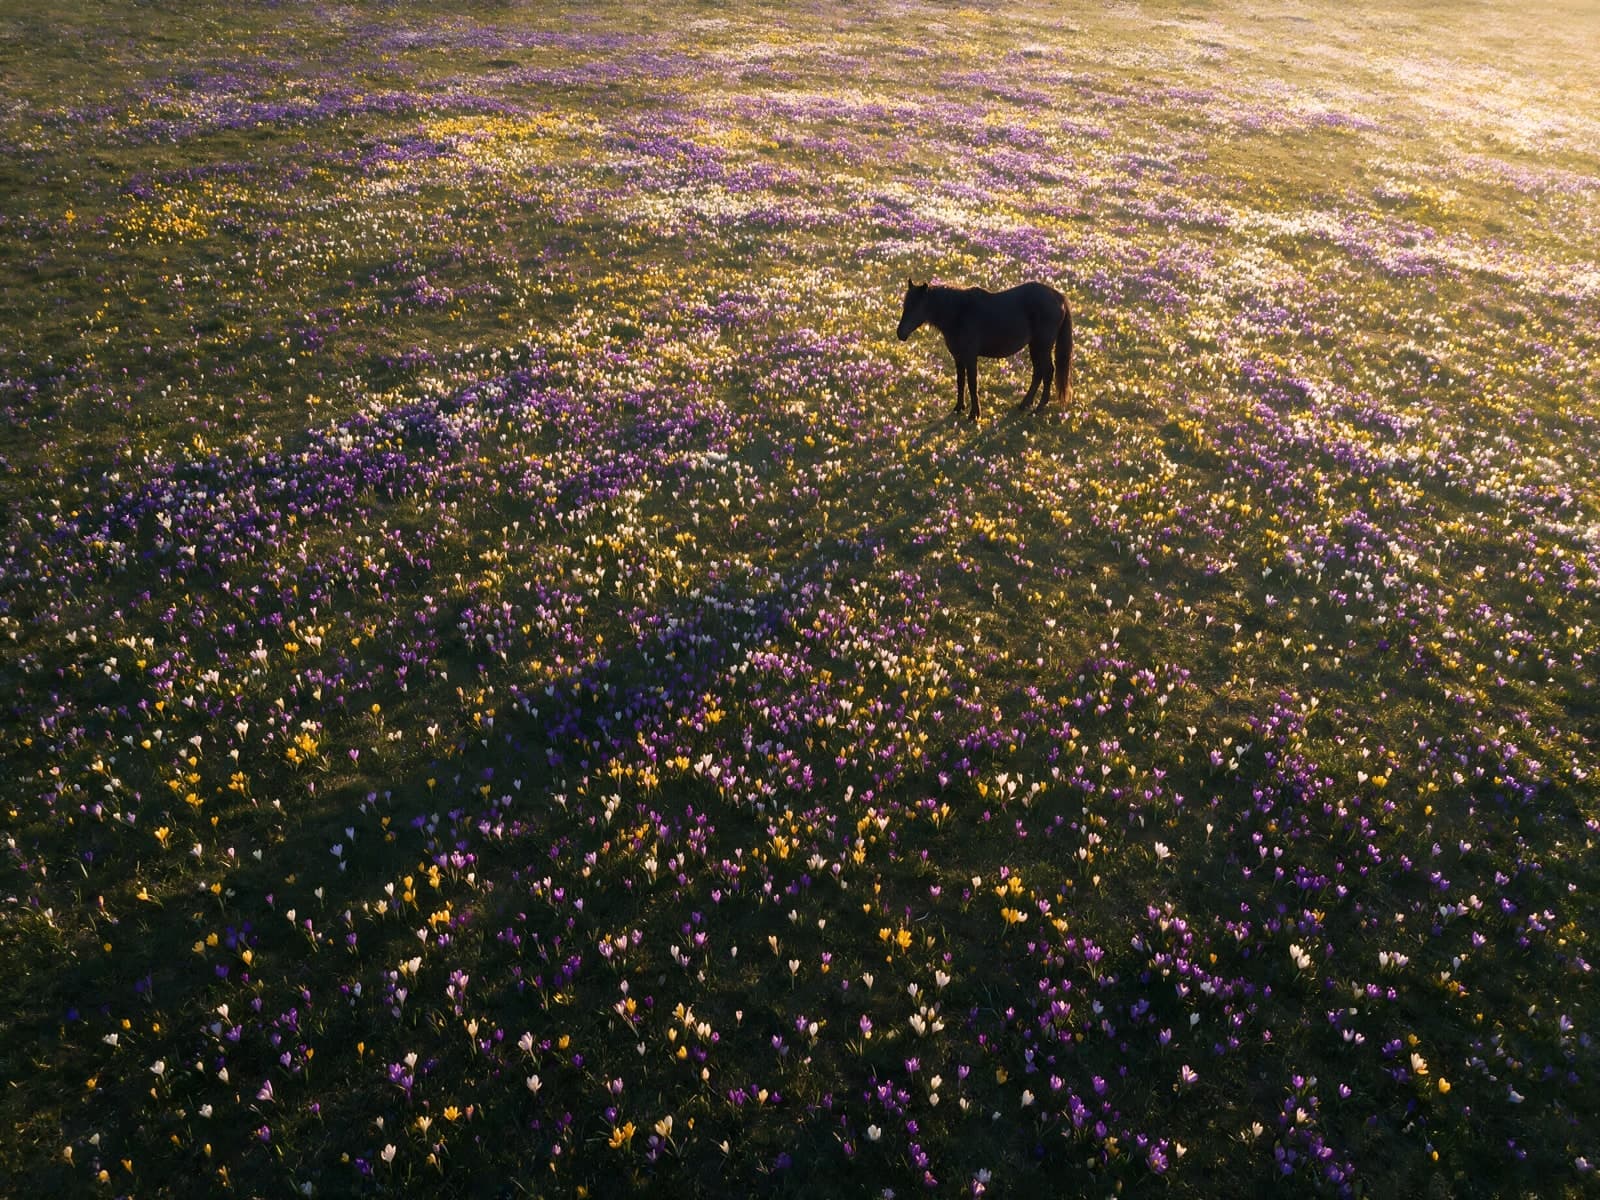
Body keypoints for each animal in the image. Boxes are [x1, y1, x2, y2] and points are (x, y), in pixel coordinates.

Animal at [896, 279, 1072, 421]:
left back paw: (1039, 407)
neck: (959, 313)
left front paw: (974, 414)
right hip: (1035, 346)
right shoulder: (958, 357)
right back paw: (1025, 404)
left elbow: (972, 384)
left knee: (1048, 372)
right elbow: (960, 381)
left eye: (916, 306)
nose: (900, 333)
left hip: (1042, 346)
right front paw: (959, 408)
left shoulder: (970, 357)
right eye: (905, 305)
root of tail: (1059, 297)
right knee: (1038, 372)